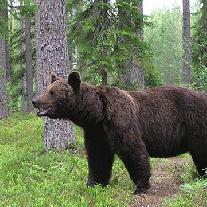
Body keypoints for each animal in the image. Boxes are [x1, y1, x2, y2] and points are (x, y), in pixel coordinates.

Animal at [32, 71, 207, 194]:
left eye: (52, 92)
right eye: (46, 89)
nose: (35, 101)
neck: (98, 113)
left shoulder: (120, 120)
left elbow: (132, 149)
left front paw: (140, 186)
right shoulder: (96, 132)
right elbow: (98, 156)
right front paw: (94, 183)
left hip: (196, 124)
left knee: (201, 152)